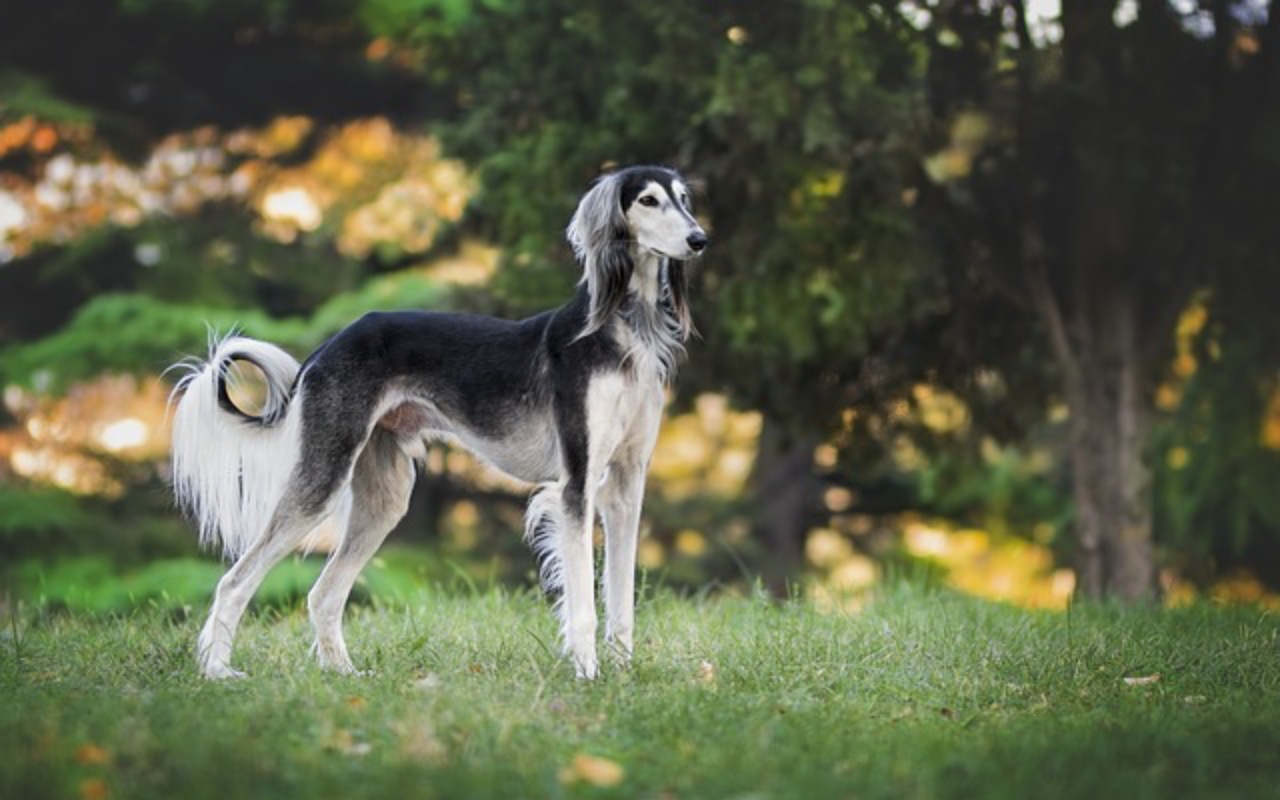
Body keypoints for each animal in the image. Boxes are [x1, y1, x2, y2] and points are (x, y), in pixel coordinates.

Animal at [167, 165, 711, 675]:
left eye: (684, 199)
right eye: (647, 200)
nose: (699, 239)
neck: (621, 329)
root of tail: (328, 346)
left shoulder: (625, 484)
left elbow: (621, 597)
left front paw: (621, 672)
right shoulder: (576, 485)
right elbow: (584, 604)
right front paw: (586, 674)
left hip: (384, 497)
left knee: (323, 593)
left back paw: (344, 674)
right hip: (322, 477)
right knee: (235, 580)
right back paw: (217, 671)